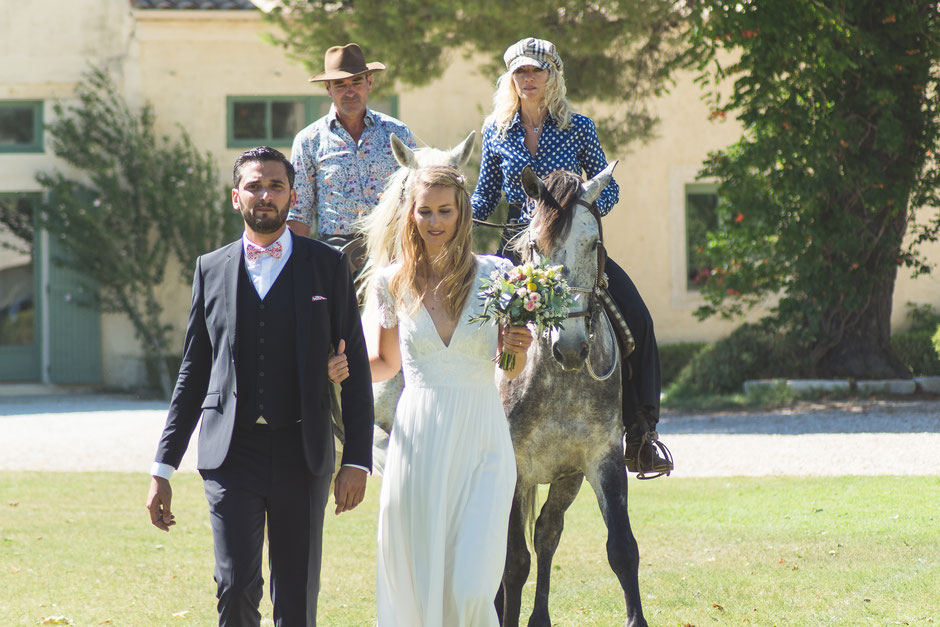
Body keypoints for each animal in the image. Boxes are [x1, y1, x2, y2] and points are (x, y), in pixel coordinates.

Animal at [500, 163, 648, 627]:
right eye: (534, 246)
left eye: (593, 243)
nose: (568, 348)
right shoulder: (515, 470)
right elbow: (514, 564)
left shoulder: (601, 459)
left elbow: (622, 550)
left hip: (567, 477)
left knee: (547, 532)